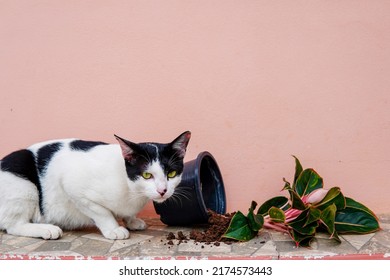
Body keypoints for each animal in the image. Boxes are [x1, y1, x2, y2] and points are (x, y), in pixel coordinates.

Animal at [0, 131, 190, 238]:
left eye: (171, 174)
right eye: (147, 175)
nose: (162, 190)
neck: (131, 189)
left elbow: (127, 213)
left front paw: (132, 220)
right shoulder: (72, 186)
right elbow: (102, 212)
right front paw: (114, 229)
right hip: (24, 185)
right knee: (13, 226)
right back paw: (46, 229)